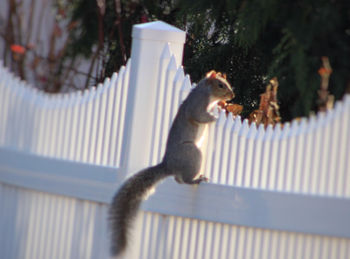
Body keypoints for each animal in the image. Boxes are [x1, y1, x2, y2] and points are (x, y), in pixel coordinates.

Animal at [108, 70, 235, 256]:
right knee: (185, 179)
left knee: (178, 180)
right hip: (192, 153)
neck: (205, 91)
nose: (232, 96)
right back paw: (197, 179)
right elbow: (200, 115)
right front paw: (216, 116)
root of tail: (168, 165)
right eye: (221, 85)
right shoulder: (197, 104)